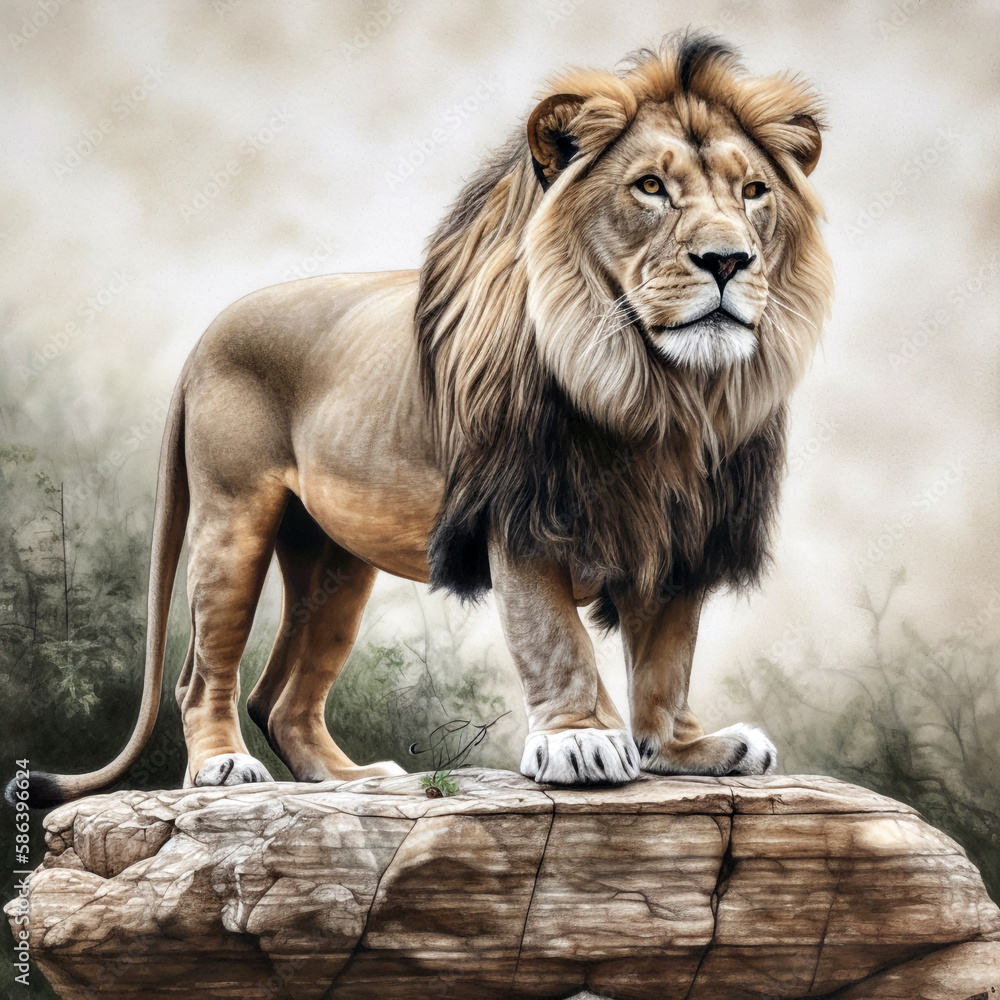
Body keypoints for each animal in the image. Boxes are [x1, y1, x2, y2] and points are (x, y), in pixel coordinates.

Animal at [13, 34, 832, 807]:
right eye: (651, 187)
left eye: (754, 191)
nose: (727, 259)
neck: (659, 392)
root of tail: (205, 335)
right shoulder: (522, 514)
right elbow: (554, 636)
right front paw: (581, 741)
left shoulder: (690, 530)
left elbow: (666, 654)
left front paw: (685, 748)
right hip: (232, 520)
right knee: (204, 673)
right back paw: (221, 765)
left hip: (334, 560)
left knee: (280, 695)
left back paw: (349, 778)